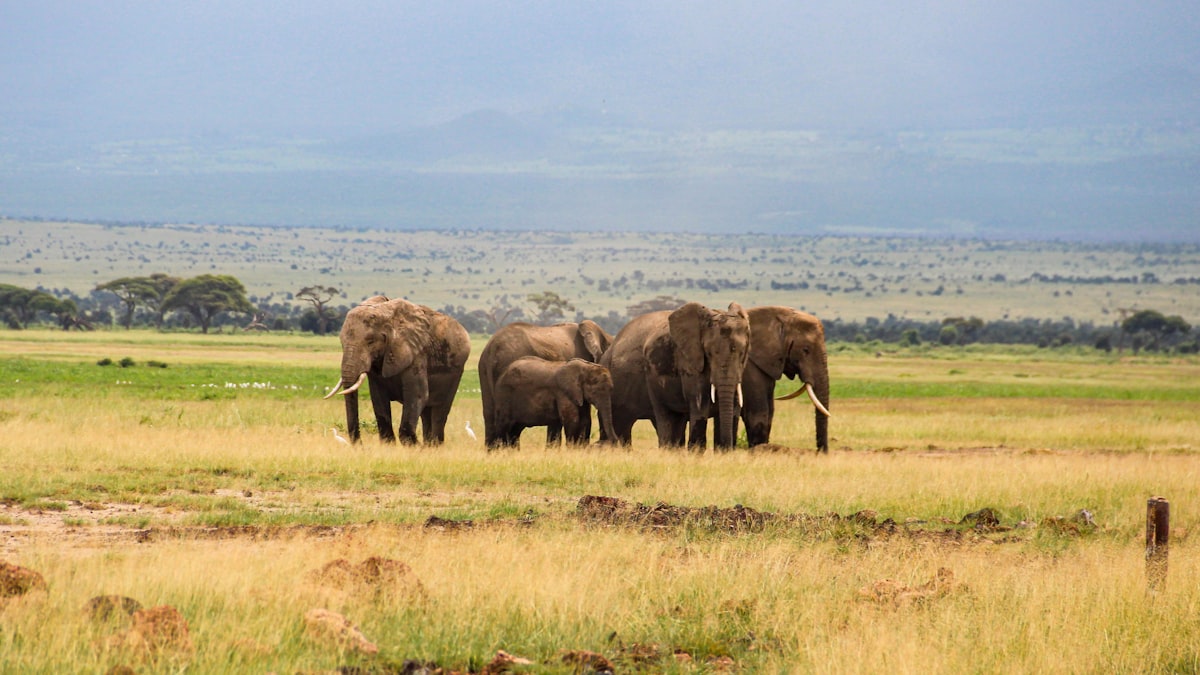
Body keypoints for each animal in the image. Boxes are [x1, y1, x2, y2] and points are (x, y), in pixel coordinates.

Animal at [323, 295, 470, 444]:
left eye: (370, 342)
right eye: (341, 342)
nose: (361, 445)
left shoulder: (416, 354)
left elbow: (418, 395)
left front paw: (413, 445)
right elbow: (378, 398)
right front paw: (390, 445)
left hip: (456, 372)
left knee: (440, 411)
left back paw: (433, 444)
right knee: (426, 413)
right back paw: (428, 446)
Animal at [602, 301, 751, 450]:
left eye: (742, 353)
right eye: (708, 353)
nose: (727, 446)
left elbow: (734, 406)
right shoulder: (688, 361)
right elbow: (699, 404)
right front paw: (696, 452)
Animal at [739, 306, 831, 452]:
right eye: (805, 350)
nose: (821, 453)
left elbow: (770, 413)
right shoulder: (749, 367)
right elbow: (758, 414)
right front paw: (758, 451)